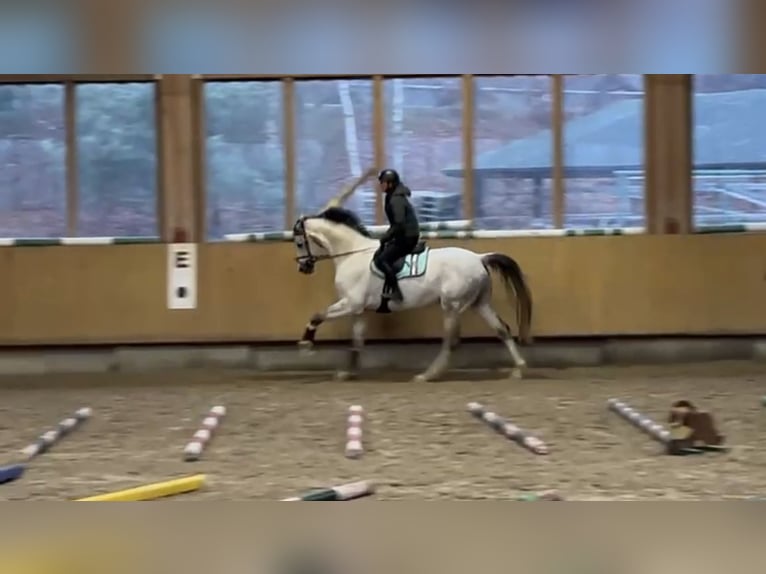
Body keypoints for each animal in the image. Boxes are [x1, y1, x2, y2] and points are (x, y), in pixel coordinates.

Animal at [292, 205, 536, 384]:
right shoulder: (359, 310)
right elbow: (357, 342)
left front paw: (306, 345)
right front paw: (346, 373)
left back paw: (427, 375)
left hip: (452, 305)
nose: (304, 267)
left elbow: (317, 316)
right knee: (501, 330)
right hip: (479, 303)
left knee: (451, 341)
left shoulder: (350, 304)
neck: (352, 254)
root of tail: (479, 258)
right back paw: (519, 369)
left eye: (299, 242)